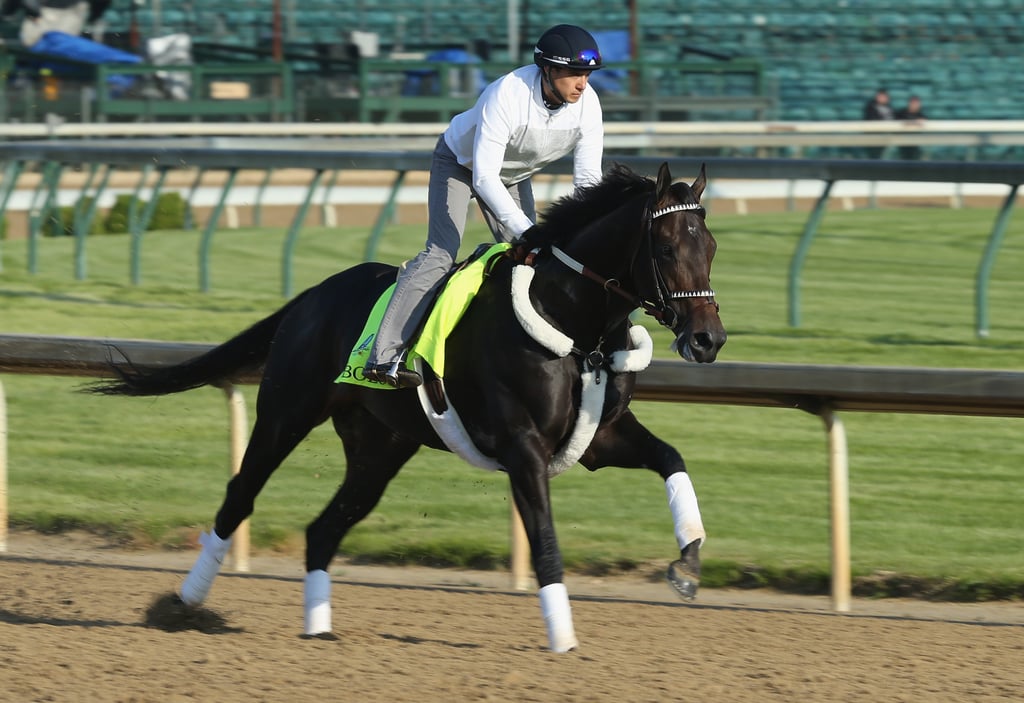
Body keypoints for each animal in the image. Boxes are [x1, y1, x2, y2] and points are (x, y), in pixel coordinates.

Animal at [90, 160, 729, 654]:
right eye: (666, 247)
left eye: (712, 246)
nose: (707, 340)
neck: (571, 321)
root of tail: (310, 296)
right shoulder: (522, 448)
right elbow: (545, 538)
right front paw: (564, 640)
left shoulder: (601, 438)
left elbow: (673, 460)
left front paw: (687, 565)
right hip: (285, 414)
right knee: (239, 497)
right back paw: (182, 604)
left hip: (379, 449)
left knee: (323, 529)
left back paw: (318, 630)